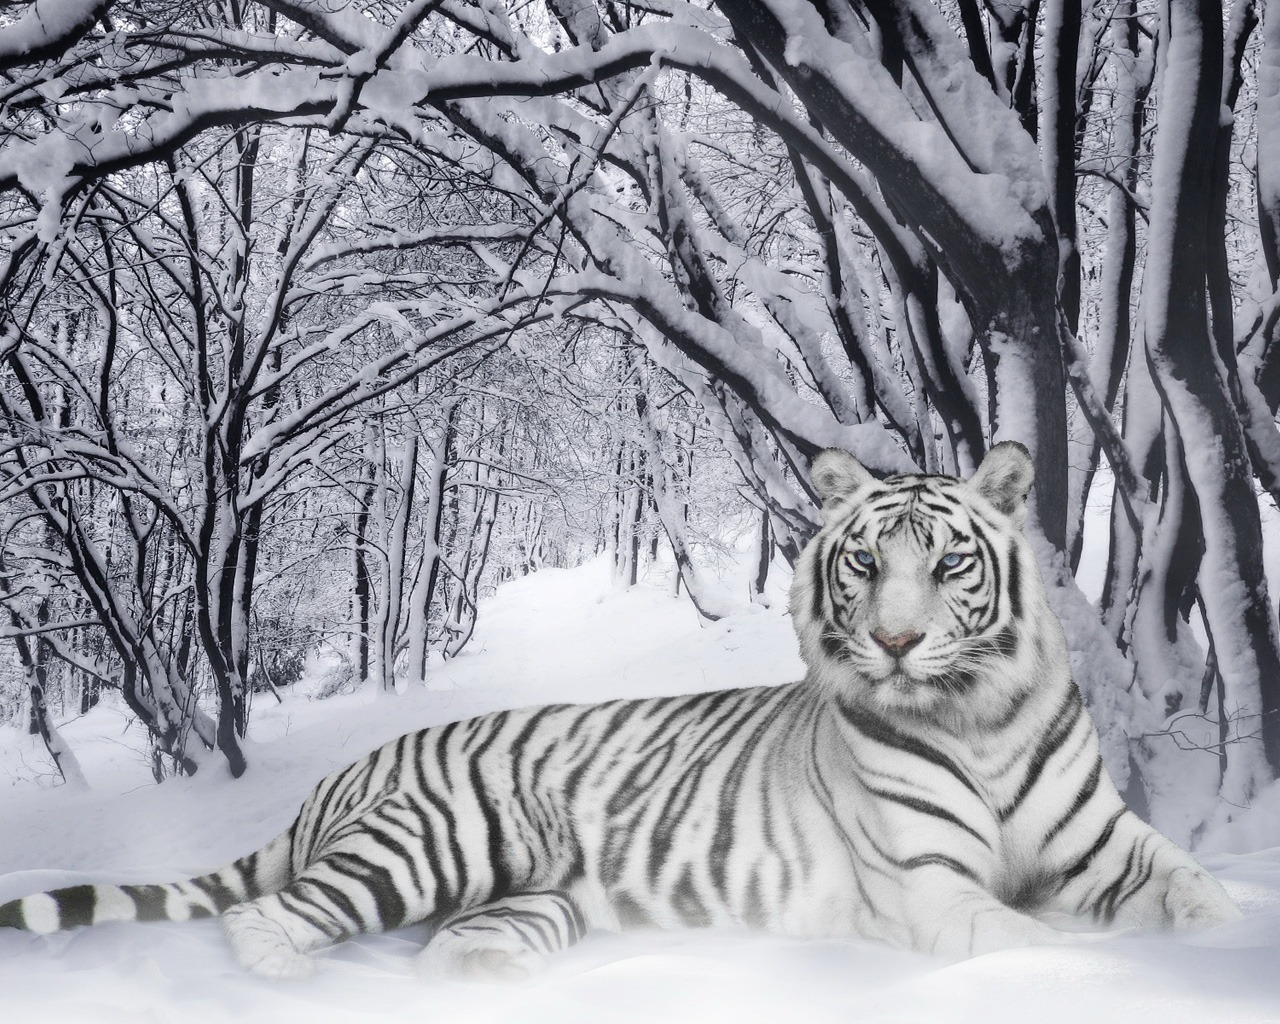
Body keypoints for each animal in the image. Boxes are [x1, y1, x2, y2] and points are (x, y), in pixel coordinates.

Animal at [0, 441, 1241, 979]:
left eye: (945, 564)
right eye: (863, 564)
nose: (893, 641)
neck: (978, 717)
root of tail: (341, 776)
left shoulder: (1108, 845)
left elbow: (1196, 889)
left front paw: (1221, 941)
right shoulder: (934, 886)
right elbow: (1031, 938)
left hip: (526, 899)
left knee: (449, 946)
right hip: (427, 843)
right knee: (267, 918)